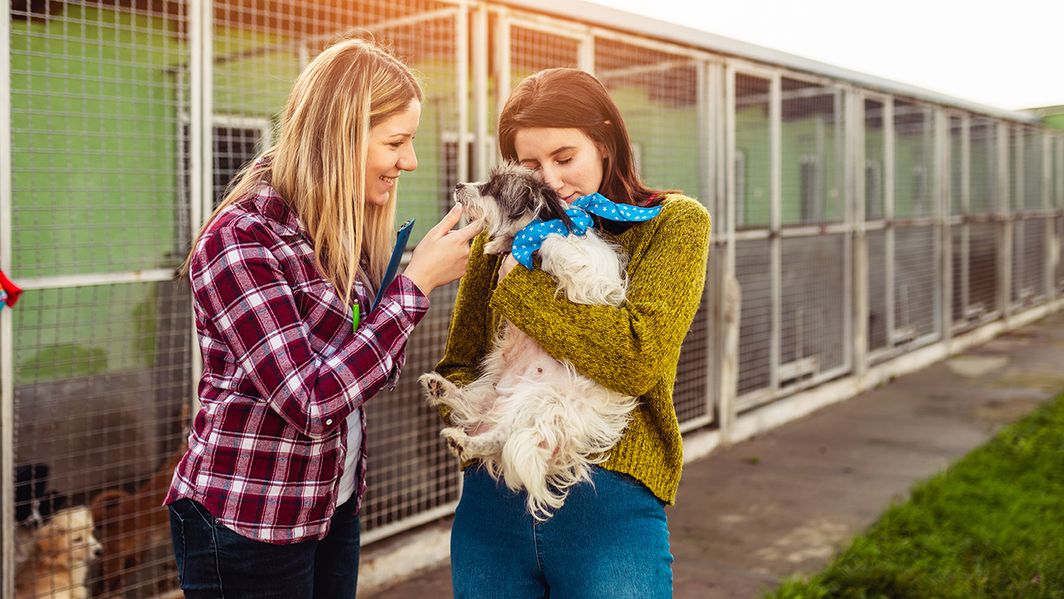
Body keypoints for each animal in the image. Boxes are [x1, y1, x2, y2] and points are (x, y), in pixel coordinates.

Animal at [419, 164, 638, 521]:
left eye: (494, 188)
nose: (459, 184)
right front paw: (501, 245)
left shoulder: (587, 278)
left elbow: (558, 245)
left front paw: (540, 244)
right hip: (492, 392)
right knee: (479, 418)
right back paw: (443, 394)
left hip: (538, 404)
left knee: (501, 436)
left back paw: (465, 440)